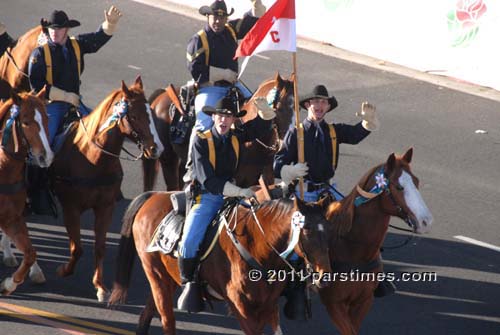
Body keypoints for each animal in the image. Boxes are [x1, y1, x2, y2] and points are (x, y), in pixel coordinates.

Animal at [0, 88, 53, 294]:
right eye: (26, 122)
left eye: (46, 119)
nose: (46, 157)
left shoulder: (11, 218)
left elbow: (30, 253)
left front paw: (8, 284)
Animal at [48, 77, 163, 304]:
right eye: (133, 115)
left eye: (150, 113)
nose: (155, 149)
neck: (93, 158)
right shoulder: (71, 207)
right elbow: (77, 248)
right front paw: (64, 270)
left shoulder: (105, 207)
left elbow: (99, 247)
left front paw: (100, 287)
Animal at [108, 193, 332, 334]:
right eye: (307, 230)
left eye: (329, 229)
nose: (324, 275)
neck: (256, 245)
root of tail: (152, 196)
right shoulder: (241, 307)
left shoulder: (269, 305)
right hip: (155, 274)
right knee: (167, 320)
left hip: (166, 278)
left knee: (148, 312)